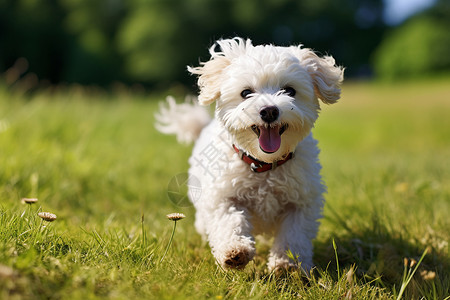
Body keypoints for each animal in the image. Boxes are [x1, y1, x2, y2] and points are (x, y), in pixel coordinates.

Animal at [156, 37, 342, 272]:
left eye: (289, 91)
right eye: (246, 93)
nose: (269, 110)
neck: (264, 164)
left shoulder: (301, 203)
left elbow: (293, 236)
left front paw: (287, 265)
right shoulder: (224, 196)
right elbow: (229, 221)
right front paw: (234, 251)